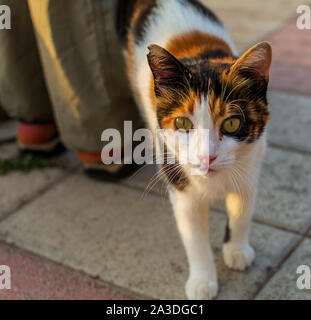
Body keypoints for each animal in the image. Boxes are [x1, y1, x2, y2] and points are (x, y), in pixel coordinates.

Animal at [116, 0, 272, 300]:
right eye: (183, 123)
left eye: (232, 123)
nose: (206, 156)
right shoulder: (180, 184)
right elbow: (194, 237)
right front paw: (202, 281)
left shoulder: (251, 167)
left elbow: (242, 213)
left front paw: (237, 250)